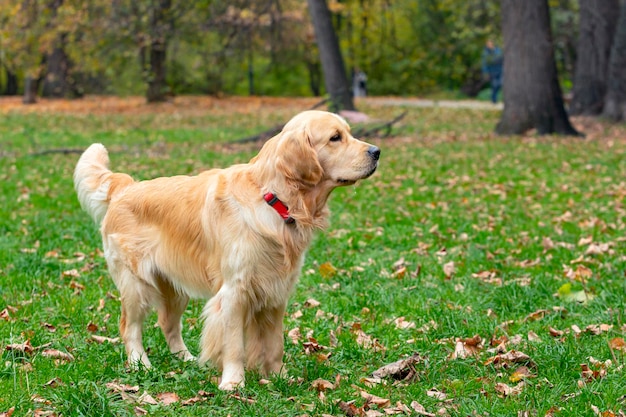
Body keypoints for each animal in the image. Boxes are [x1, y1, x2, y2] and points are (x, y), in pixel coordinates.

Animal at [73, 109, 376, 388]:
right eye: (335, 137)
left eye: (348, 133)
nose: (377, 151)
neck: (274, 199)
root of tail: (124, 187)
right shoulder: (234, 292)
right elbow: (234, 345)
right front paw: (233, 383)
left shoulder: (276, 291)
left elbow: (275, 344)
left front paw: (279, 376)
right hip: (137, 284)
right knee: (130, 327)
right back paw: (141, 365)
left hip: (175, 287)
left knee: (168, 324)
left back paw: (188, 359)